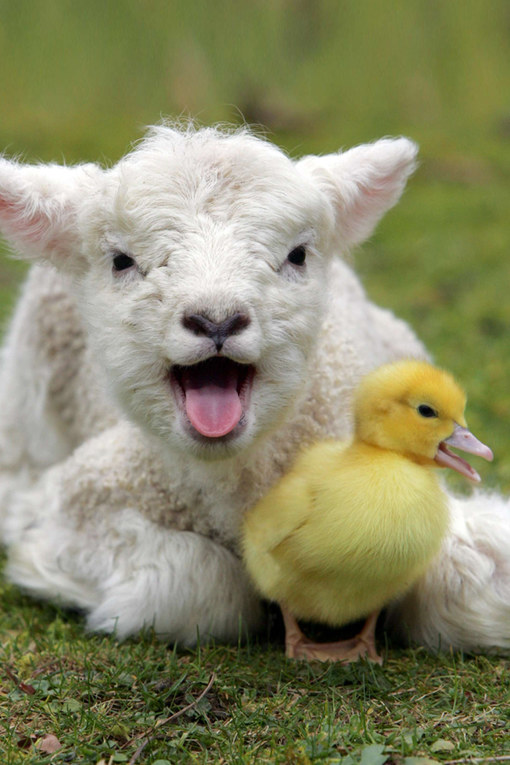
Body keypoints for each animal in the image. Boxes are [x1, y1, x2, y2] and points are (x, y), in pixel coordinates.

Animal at [0, 124, 508, 652]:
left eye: (297, 255)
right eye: (121, 261)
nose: (216, 320)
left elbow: (468, 588)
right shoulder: (81, 502)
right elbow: (199, 585)